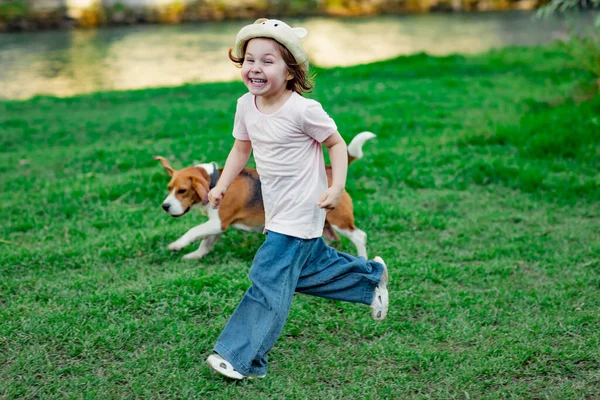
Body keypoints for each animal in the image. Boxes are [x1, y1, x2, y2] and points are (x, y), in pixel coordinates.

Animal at [157, 133, 378, 260]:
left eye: (182, 191)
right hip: (322, 224)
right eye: (169, 188)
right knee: (332, 240)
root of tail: (330, 168)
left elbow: (193, 231)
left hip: (340, 220)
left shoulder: (219, 223)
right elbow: (205, 243)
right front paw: (194, 256)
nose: (165, 206)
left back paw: (363, 259)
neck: (214, 181)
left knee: (359, 236)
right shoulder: (215, 225)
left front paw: (177, 245)